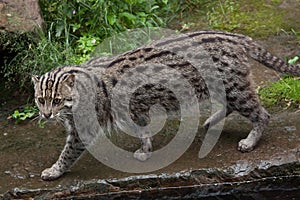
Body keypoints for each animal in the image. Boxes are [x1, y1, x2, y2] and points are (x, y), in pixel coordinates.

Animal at [31, 30, 298, 180]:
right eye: (40, 100)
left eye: (56, 100)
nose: (46, 115)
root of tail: (234, 36)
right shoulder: (135, 110)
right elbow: (144, 130)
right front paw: (146, 148)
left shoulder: (84, 127)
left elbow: (68, 152)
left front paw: (54, 170)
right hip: (220, 86)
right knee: (230, 106)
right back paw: (213, 120)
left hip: (234, 88)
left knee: (262, 114)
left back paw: (251, 140)